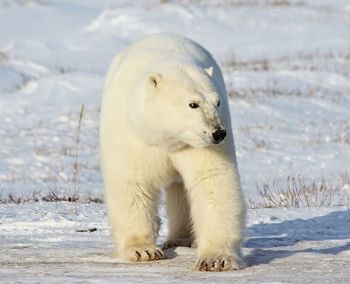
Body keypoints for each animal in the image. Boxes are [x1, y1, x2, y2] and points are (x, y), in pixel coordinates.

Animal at [99, 32, 246, 270]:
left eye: (217, 102)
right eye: (193, 104)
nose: (218, 133)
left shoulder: (196, 145)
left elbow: (212, 180)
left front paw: (215, 259)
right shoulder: (131, 134)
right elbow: (132, 182)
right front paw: (143, 250)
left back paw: (181, 239)